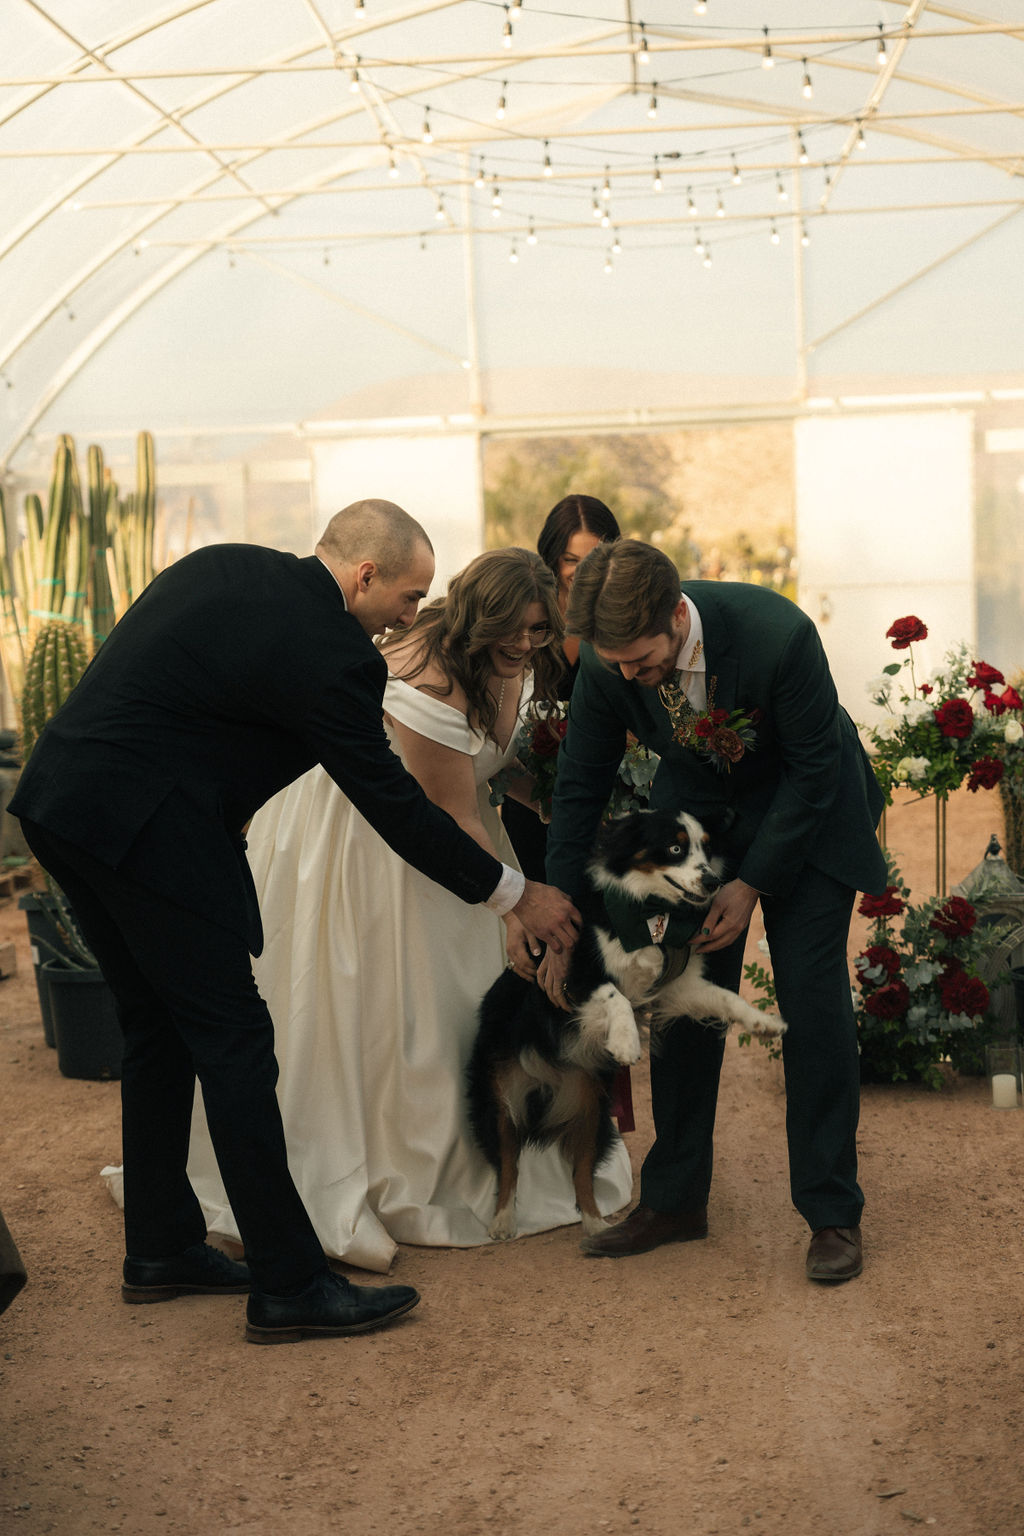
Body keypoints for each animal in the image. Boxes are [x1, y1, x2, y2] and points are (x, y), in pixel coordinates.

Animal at [469, 811, 792, 1241]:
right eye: (675, 848)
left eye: (706, 848)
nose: (712, 882)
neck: (652, 913)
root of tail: (550, 1074)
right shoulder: (574, 978)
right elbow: (615, 995)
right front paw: (625, 1043)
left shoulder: (674, 989)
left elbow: (725, 997)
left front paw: (764, 1023)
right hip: (502, 1097)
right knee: (508, 1161)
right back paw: (503, 1222)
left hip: (591, 1108)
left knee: (581, 1172)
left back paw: (596, 1227)